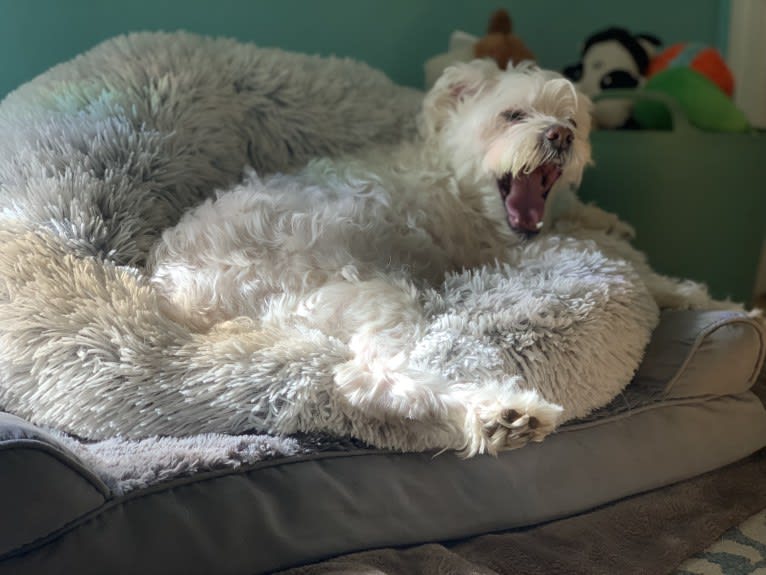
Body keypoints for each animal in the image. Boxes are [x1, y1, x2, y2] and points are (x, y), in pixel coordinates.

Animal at [150, 63, 608, 456]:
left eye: (572, 121)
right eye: (512, 115)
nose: (560, 136)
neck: (455, 181)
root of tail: (178, 291)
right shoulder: (487, 247)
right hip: (368, 295)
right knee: (367, 379)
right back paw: (500, 413)